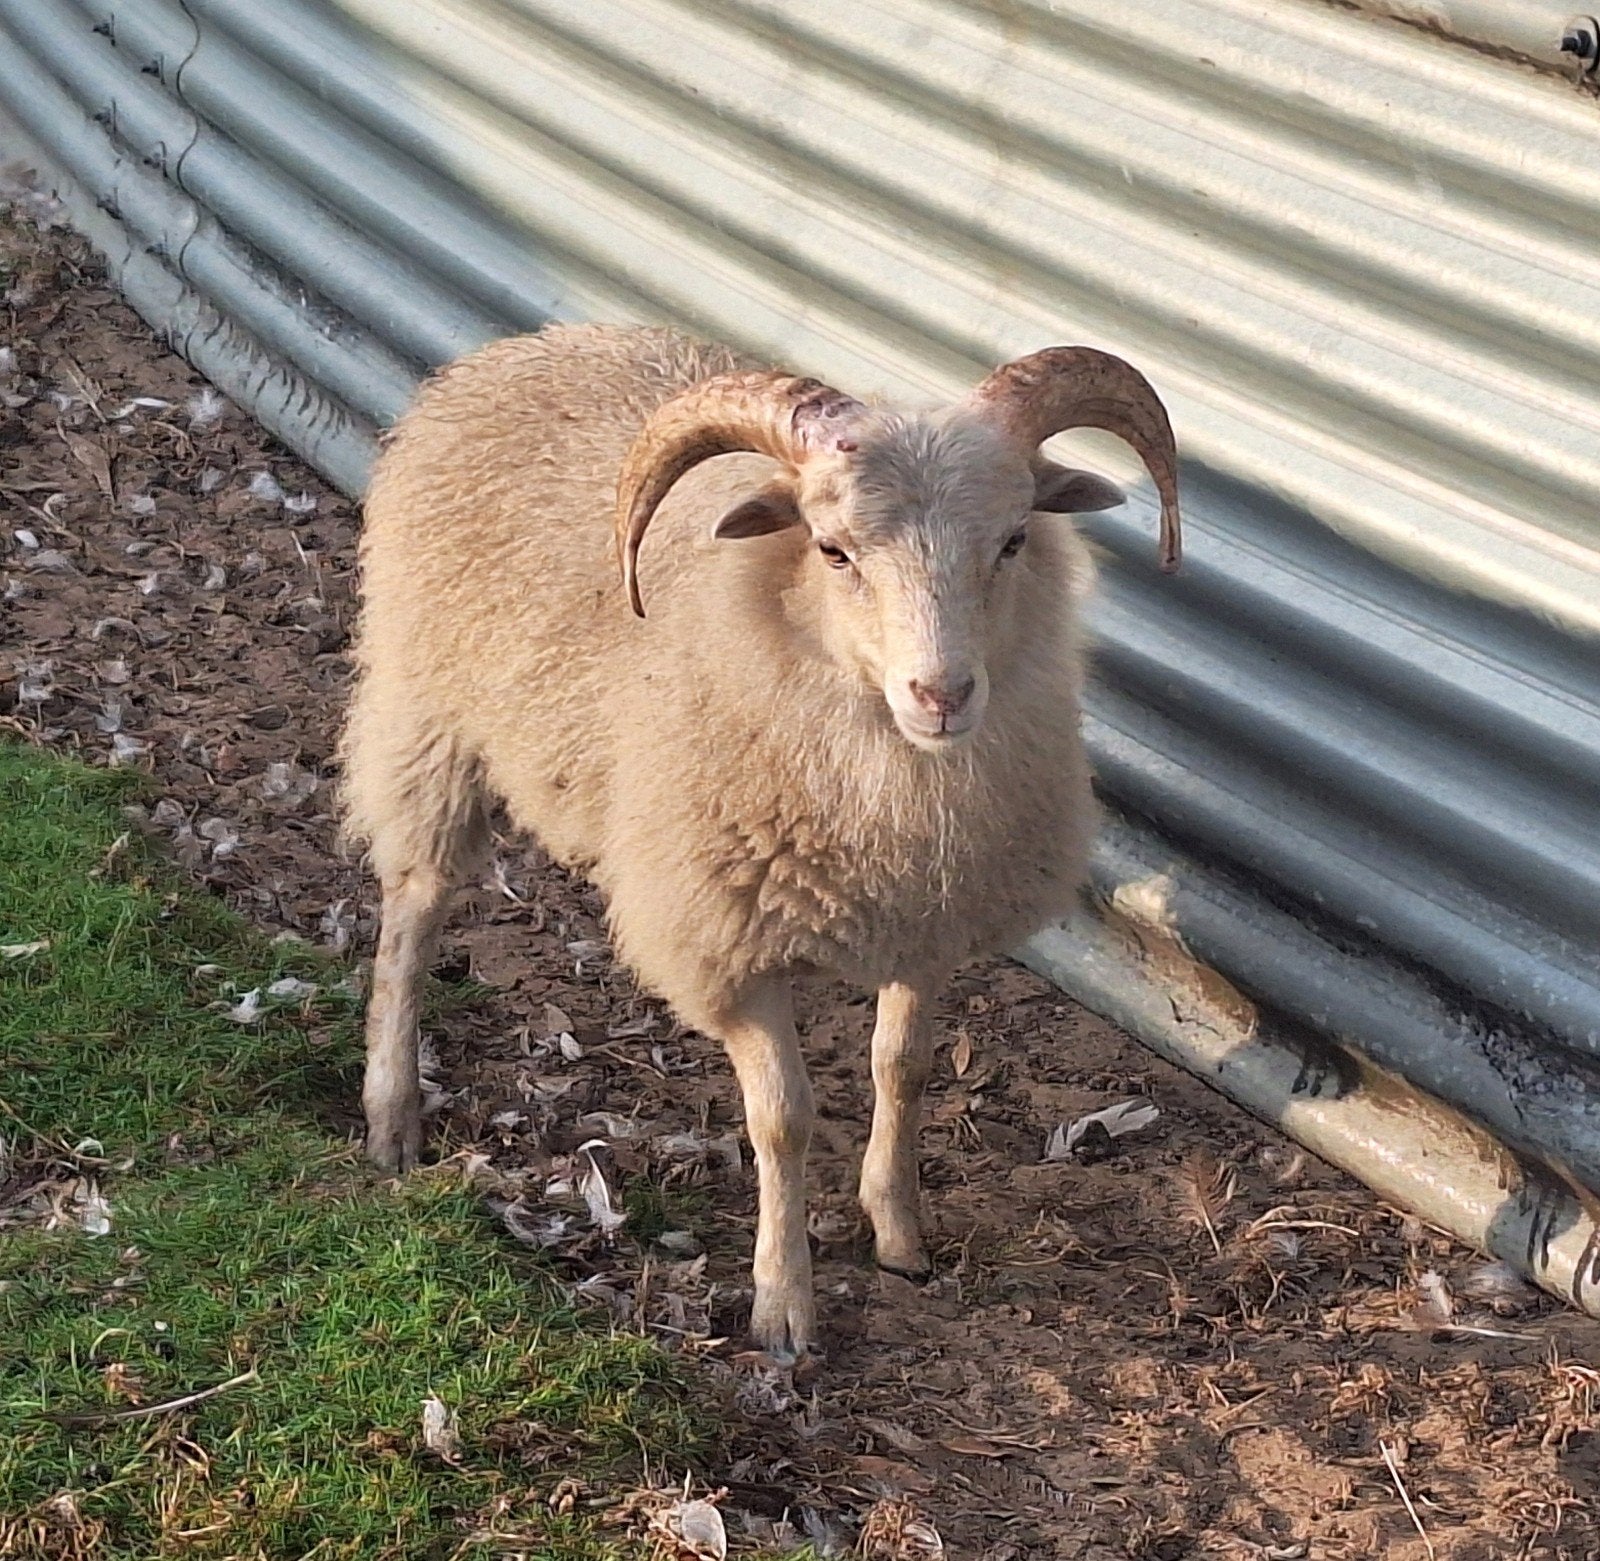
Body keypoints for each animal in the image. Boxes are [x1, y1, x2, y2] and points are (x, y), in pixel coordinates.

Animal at [340, 323, 1180, 1358]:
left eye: (1014, 538)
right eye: (832, 550)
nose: (942, 695)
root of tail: (523, 347)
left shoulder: (929, 920)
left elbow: (901, 1068)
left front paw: (898, 1229)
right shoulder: (728, 942)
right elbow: (783, 1117)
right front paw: (785, 1302)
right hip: (427, 709)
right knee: (413, 909)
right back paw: (391, 1114)